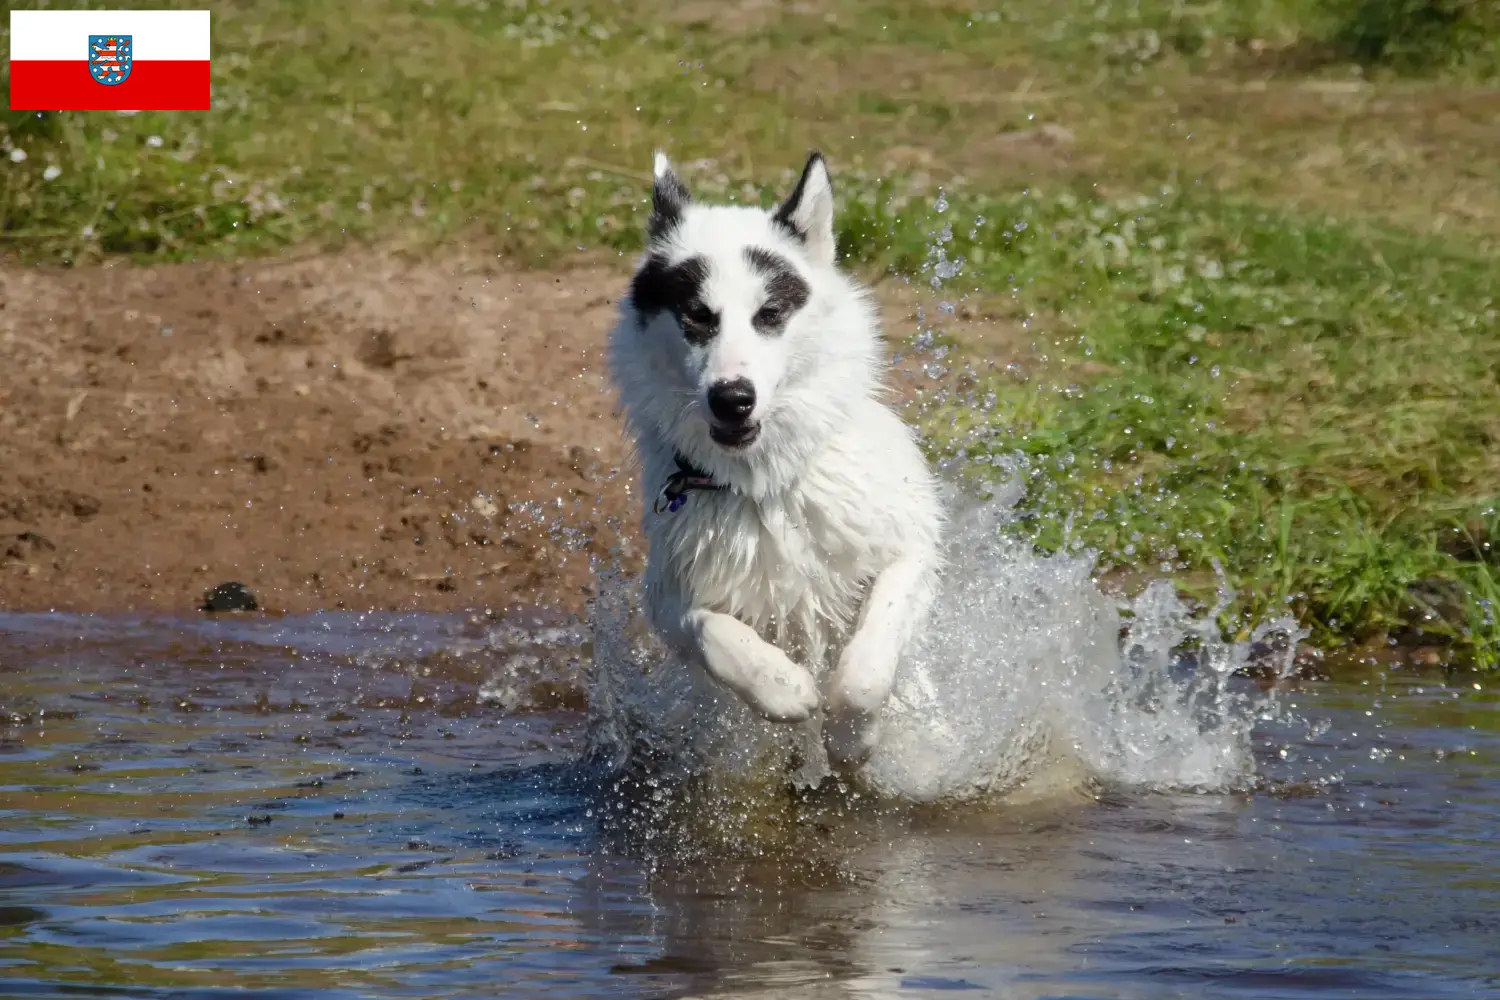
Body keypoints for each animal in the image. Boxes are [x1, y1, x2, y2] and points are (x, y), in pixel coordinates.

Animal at [606, 152, 936, 773]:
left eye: (771, 313)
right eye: (697, 315)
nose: (732, 399)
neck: (762, 484)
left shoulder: (913, 549)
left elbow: (866, 667)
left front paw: (851, 736)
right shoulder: (665, 595)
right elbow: (711, 630)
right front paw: (782, 686)